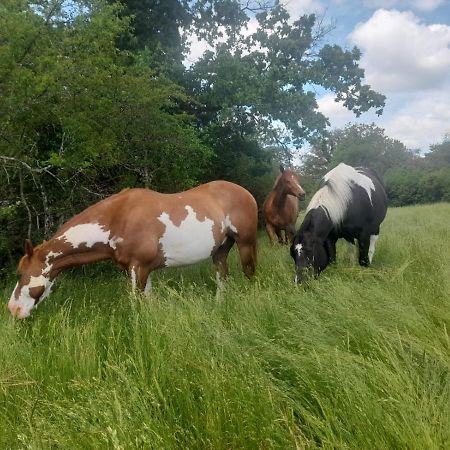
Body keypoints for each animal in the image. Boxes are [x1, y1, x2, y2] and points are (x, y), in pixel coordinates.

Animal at [7, 181, 256, 318]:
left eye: (20, 274)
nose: (13, 309)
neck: (118, 219)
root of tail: (245, 192)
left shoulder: (140, 268)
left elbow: (136, 306)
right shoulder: (138, 269)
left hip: (246, 243)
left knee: (249, 273)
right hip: (220, 250)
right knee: (222, 277)